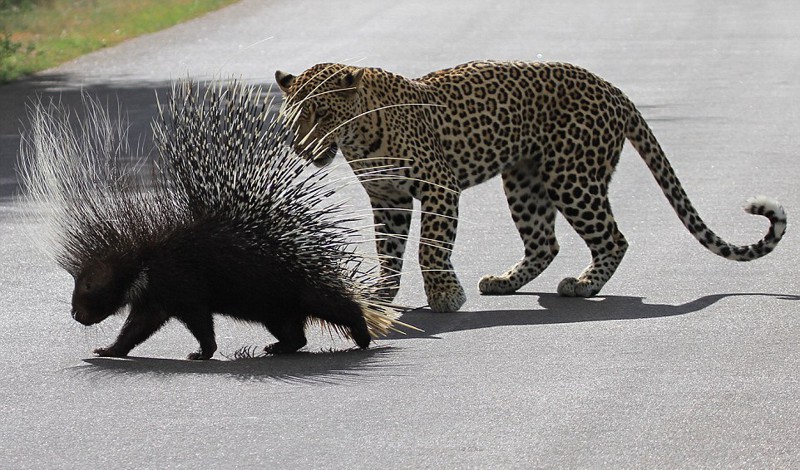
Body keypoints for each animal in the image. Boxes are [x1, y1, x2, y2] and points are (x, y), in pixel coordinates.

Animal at [276, 61, 788, 312]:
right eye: (294, 114)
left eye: (323, 113)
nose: (302, 146)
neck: (360, 137)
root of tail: (614, 89)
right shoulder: (389, 199)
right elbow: (388, 251)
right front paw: (380, 297)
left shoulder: (438, 186)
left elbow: (430, 248)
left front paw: (444, 298)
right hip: (524, 180)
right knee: (545, 241)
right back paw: (504, 282)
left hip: (571, 176)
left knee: (613, 237)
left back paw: (583, 286)